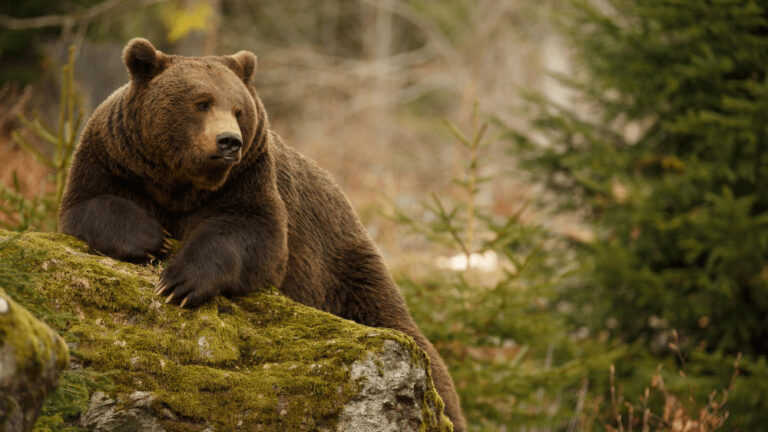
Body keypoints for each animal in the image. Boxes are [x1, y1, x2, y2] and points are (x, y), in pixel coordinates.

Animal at [58, 38, 468, 430]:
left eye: (239, 109)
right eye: (201, 103)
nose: (229, 141)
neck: (181, 183)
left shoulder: (248, 179)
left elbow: (251, 235)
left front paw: (180, 282)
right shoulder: (114, 158)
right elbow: (88, 205)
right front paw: (151, 238)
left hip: (342, 269)